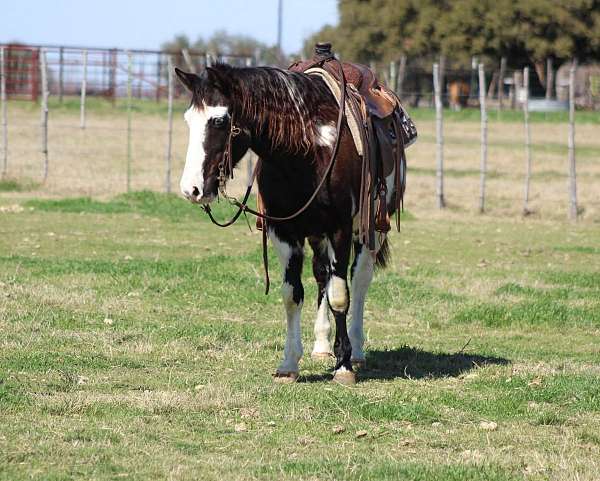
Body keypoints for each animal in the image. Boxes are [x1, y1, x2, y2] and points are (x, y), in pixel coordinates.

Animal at [176, 61, 400, 382]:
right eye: (188, 120)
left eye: (218, 121)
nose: (190, 189)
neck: (307, 150)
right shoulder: (283, 230)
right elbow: (293, 294)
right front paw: (289, 364)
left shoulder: (341, 229)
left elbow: (340, 296)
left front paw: (343, 366)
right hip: (318, 235)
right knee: (322, 276)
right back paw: (322, 345)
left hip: (372, 229)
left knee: (359, 280)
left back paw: (356, 350)